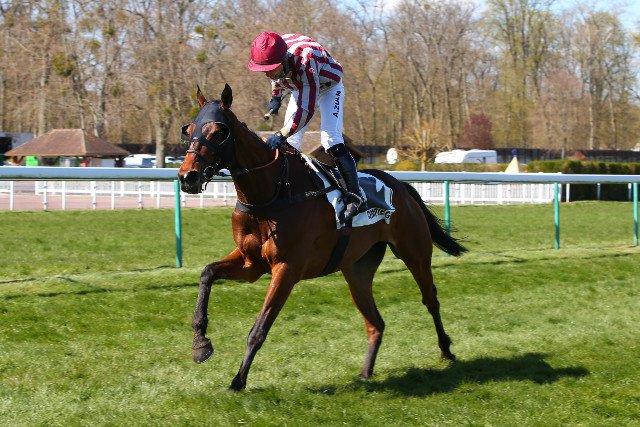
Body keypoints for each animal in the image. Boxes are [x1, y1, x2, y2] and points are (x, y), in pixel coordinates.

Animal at [178, 84, 467, 391]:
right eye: (189, 129)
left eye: (218, 132)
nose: (187, 177)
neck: (272, 192)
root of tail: (401, 185)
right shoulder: (250, 263)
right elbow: (207, 273)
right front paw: (200, 344)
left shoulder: (286, 269)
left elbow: (259, 328)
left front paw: (238, 381)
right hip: (357, 270)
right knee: (376, 322)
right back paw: (366, 372)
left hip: (414, 253)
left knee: (430, 299)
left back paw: (446, 349)